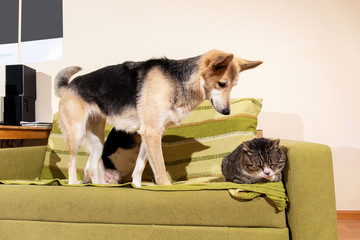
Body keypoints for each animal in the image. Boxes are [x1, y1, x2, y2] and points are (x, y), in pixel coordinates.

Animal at [54, 49, 262, 186]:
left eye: (234, 86)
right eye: (222, 84)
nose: (227, 112)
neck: (177, 81)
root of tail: (69, 86)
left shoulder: (151, 136)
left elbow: (139, 169)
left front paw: (138, 188)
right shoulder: (152, 134)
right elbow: (160, 169)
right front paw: (165, 188)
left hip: (98, 141)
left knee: (91, 169)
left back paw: (100, 187)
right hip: (76, 135)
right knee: (72, 164)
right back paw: (73, 184)